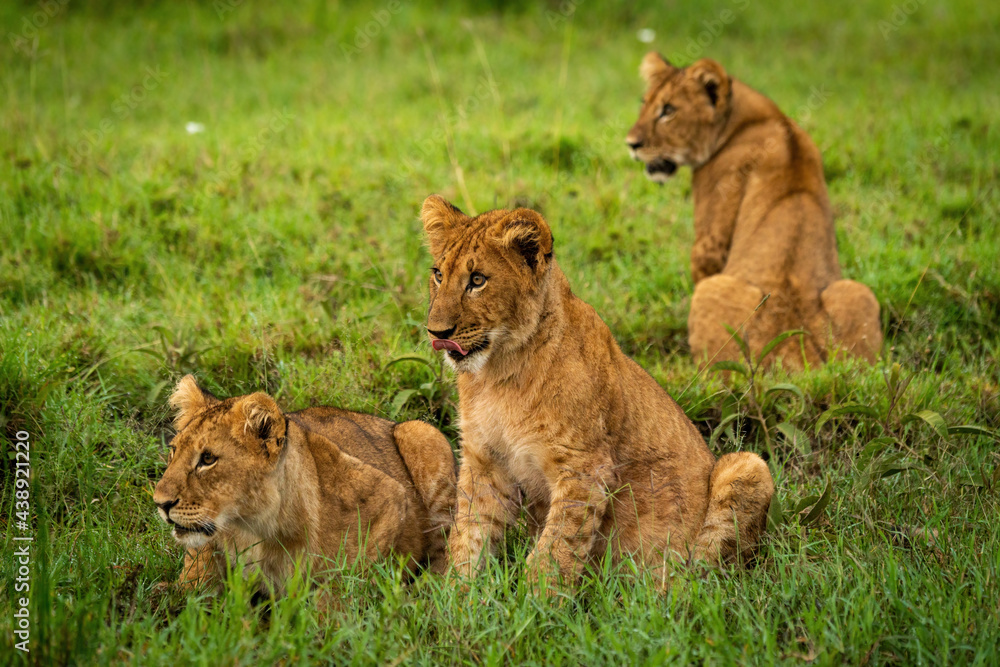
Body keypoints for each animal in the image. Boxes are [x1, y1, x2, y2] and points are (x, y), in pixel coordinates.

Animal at [152, 375, 456, 597]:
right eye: (173, 451)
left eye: (207, 459)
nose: (160, 503)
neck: (248, 525)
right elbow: (195, 571)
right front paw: (177, 592)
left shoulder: (389, 496)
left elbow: (342, 582)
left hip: (421, 432)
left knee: (445, 545)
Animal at [419, 194, 774, 589]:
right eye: (438, 274)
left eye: (477, 280)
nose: (436, 332)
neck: (497, 373)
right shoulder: (485, 461)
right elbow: (468, 536)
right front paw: (455, 596)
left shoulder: (584, 468)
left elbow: (555, 552)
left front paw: (535, 603)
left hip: (748, 466)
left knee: (704, 577)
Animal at [626, 53, 882, 369]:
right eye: (644, 103)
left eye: (668, 110)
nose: (631, 144)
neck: (757, 118)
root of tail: (793, 346)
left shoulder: (711, 237)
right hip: (859, 293)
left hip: (712, 294)